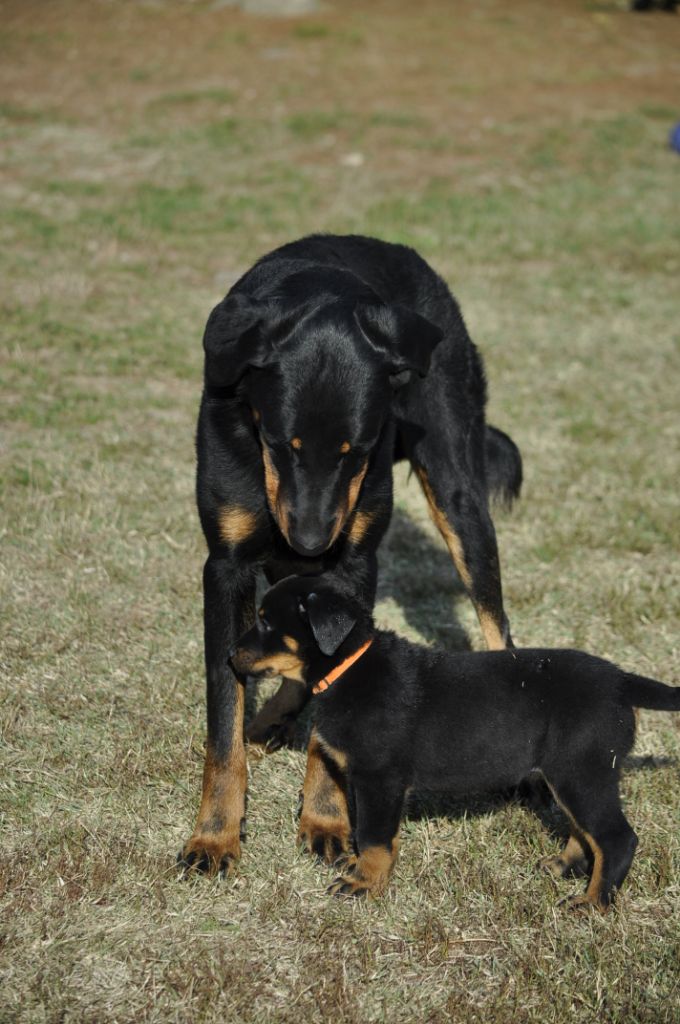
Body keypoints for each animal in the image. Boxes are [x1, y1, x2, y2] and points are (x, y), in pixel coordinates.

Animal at [179, 235, 520, 876]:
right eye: (280, 444)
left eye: (356, 451)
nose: (313, 544)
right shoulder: (227, 566)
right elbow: (223, 715)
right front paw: (214, 835)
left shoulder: (356, 561)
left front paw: (325, 820)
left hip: (458, 491)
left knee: (497, 623)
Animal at [231, 577, 675, 913]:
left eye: (267, 623)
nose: (230, 655)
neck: (348, 666)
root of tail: (620, 680)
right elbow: (381, 836)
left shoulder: (379, 778)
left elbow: (373, 836)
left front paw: (363, 883)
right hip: (571, 775)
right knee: (586, 831)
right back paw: (564, 866)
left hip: (581, 770)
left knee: (616, 838)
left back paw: (592, 904)